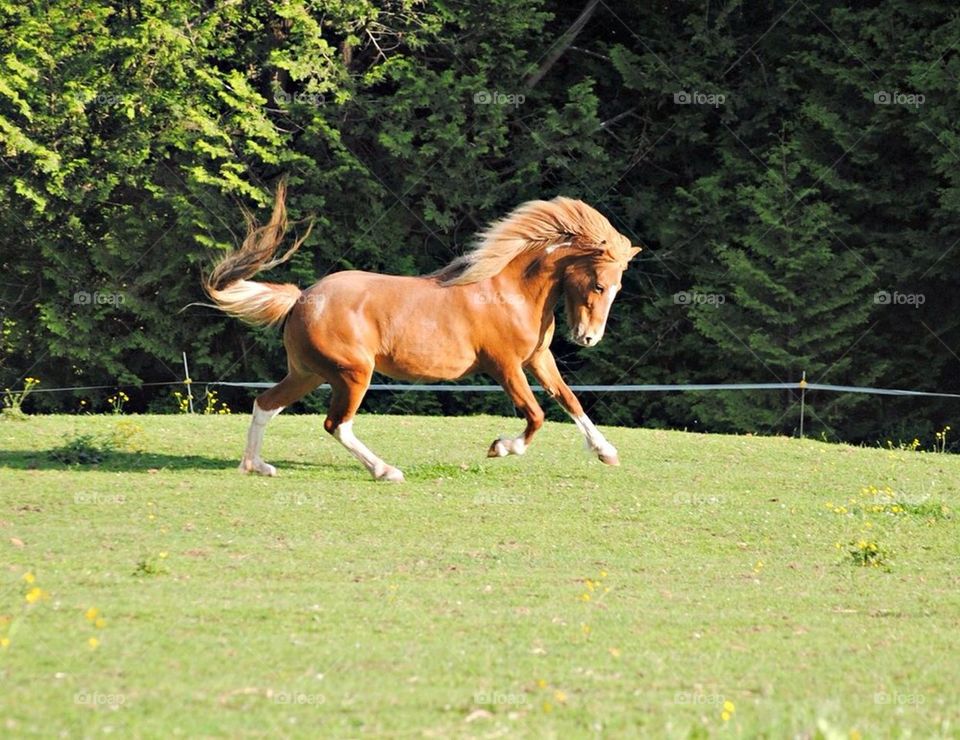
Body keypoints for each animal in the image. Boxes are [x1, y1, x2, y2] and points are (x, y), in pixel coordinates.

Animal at [203, 181, 641, 481]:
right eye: (598, 285)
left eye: (618, 287)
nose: (588, 338)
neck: (509, 290)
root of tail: (301, 299)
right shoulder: (505, 366)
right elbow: (535, 414)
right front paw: (501, 447)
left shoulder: (537, 358)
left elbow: (570, 400)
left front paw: (606, 451)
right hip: (352, 374)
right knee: (336, 425)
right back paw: (385, 471)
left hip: (308, 373)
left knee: (266, 403)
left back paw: (256, 465)